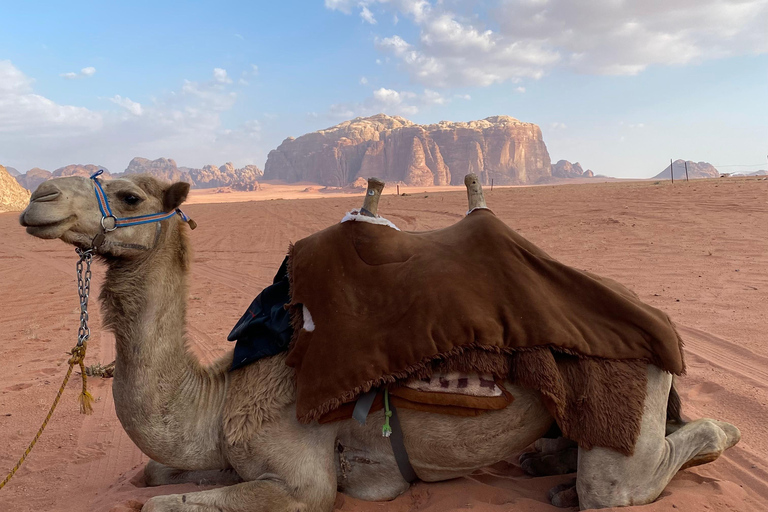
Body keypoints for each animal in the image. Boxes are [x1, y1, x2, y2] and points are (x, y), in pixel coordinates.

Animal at [18, 174, 736, 510]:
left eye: (129, 194)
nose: (38, 196)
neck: (216, 397)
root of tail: (660, 323)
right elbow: (153, 474)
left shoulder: (301, 477)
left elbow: (167, 503)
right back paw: (544, 468)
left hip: (630, 392)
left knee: (625, 480)